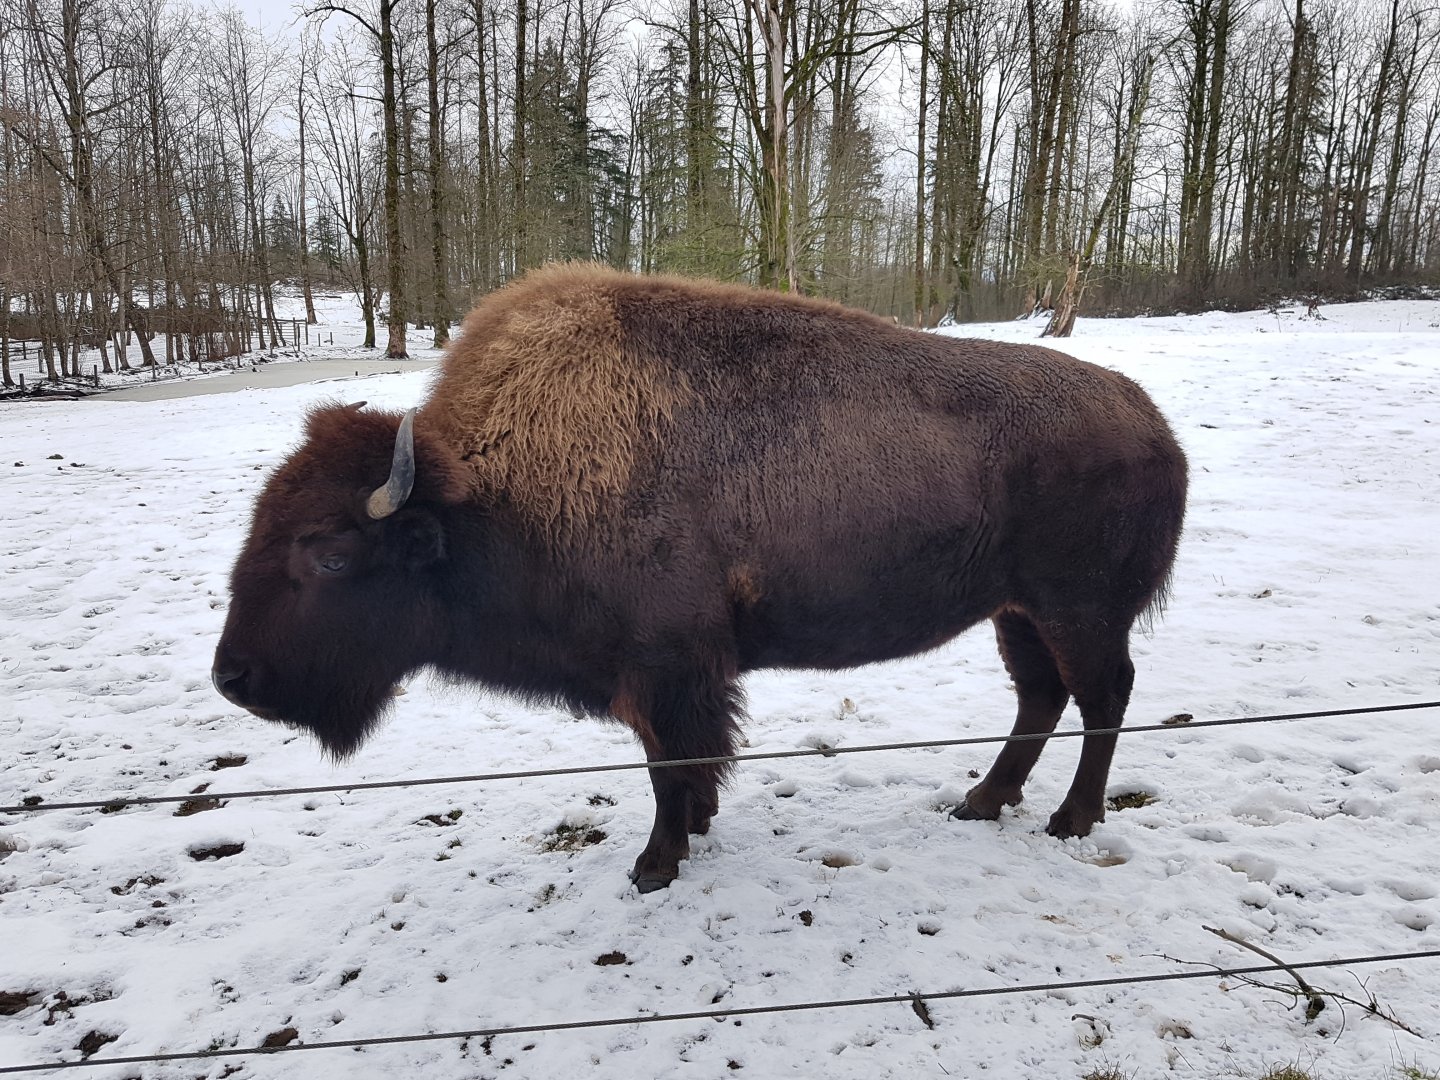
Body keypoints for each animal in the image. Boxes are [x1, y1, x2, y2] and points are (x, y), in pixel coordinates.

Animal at [213, 265, 1187, 891]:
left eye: (329, 552)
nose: (233, 678)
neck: (487, 496)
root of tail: (1151, 420)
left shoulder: (665, 669)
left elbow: (668, 764)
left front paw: (654, 865)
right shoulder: (669, 674)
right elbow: (678, 766)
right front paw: (695, 831)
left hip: (1079, 609)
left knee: (1103, 695)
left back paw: (1071, 819)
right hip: (1016, 611)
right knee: (1042, 697)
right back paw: (983, 803)